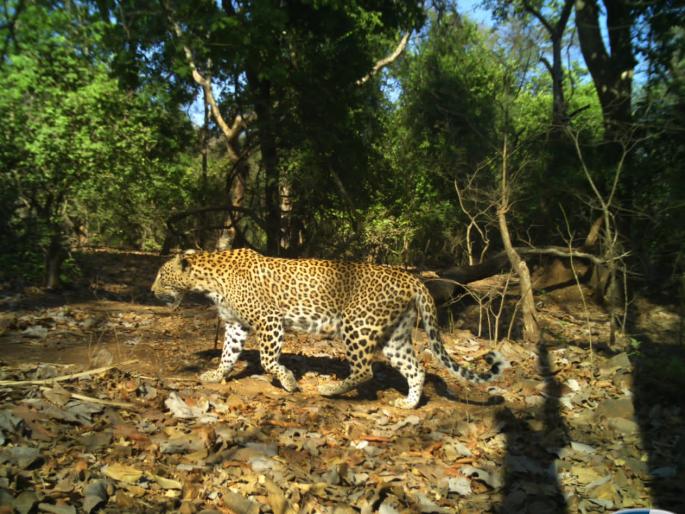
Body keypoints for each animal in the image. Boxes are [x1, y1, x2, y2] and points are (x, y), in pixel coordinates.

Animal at [151, 249, 508, 409]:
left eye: (161, 276)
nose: (151, 291)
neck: (208, 280)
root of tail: (411, 278)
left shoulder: (269, 321)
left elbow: (267, 360)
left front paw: (288, 381)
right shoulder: (237, 325)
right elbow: (228, 354)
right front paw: (215, 375)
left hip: (357, 325)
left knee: (364, 370)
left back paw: (330, 390)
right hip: (394, 335)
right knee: (415, 368)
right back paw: (408, 404)